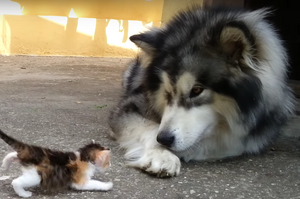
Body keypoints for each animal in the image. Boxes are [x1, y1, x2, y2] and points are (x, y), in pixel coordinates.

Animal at [108, 6, 296, 177]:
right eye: (166, 93)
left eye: (197, 90)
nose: (164, 139)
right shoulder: (130, 105)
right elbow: (150, 128)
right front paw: (162, 155)